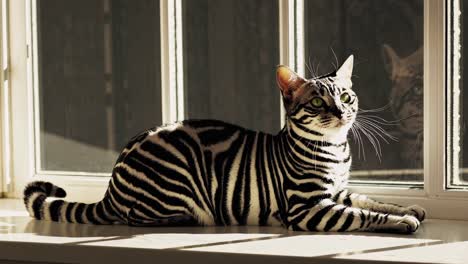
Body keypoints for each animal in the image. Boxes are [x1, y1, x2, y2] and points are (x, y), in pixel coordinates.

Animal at [23, 55, 426, 233]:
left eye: (345, 96)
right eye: (317, 102)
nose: (342, 112)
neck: (336, 150)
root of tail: (110, 187)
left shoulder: (338, 191)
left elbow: (373, 200)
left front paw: (409, 208)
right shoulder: (310, 208)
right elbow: (365, 215)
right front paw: (402, 220)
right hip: (176, 180)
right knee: (134, 215)